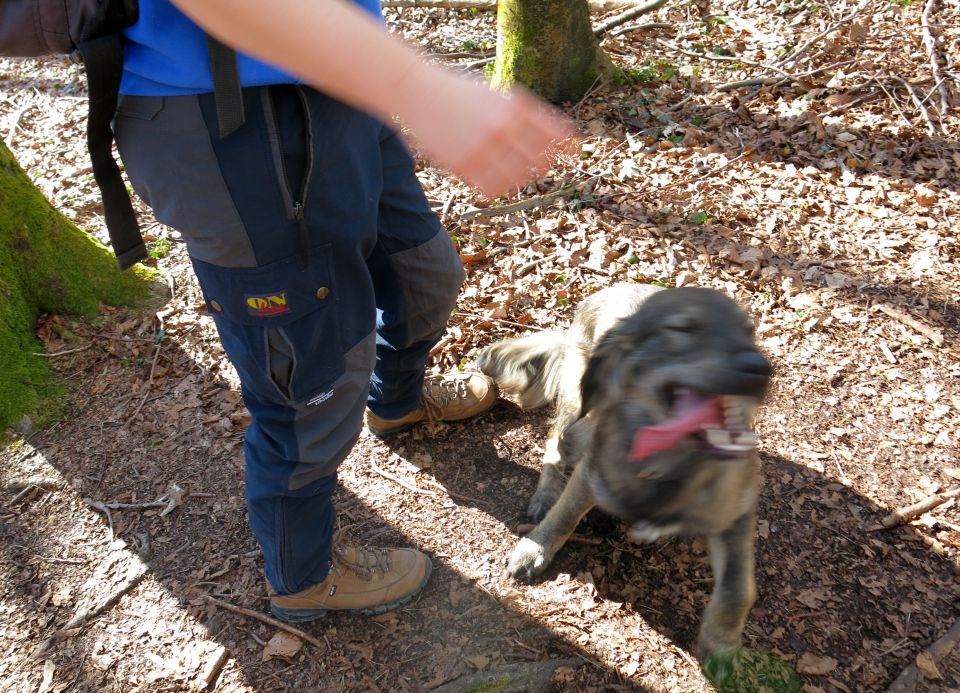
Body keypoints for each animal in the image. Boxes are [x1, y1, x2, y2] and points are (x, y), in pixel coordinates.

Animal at [480, 278, 772, 656]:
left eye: (749, 332)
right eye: (682, 329)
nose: (760, 369)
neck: (668, 461)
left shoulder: (737, 508)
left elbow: (738, 588)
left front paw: (721, 645)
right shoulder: (590, 472)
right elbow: (564, 516)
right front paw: (535, 549)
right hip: (579, 418)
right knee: (555, 445)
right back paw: (545, 495)